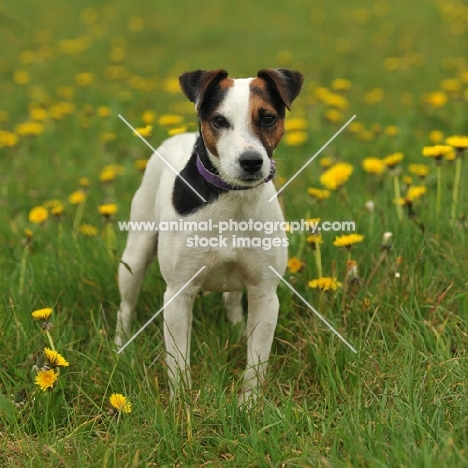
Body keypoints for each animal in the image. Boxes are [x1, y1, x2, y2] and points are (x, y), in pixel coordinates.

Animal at [114, 67, 304, 400]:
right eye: (219, 121)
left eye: (268, 118)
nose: (251, 161)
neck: (232, 202)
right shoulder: (178, 293)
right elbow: (178, 362)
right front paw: (182, 403)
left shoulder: (265, 294)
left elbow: (256, 361)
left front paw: (249, 403)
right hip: (136, 253)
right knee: (126, 305)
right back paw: (120, 345)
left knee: (232, 301)